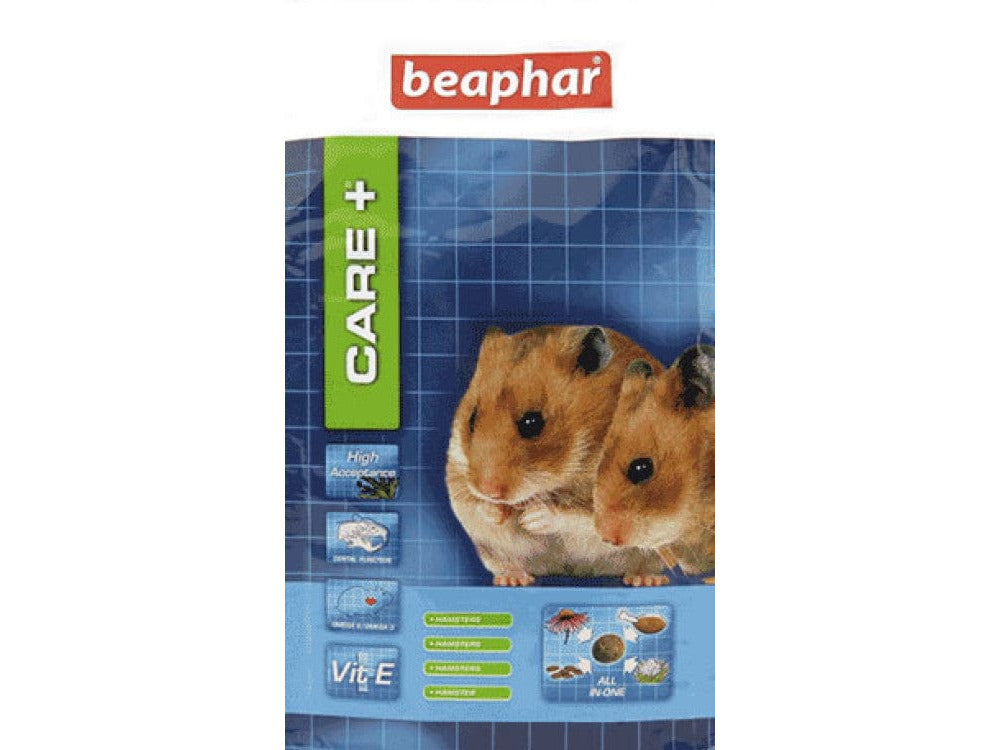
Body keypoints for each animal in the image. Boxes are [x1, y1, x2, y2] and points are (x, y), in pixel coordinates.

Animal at [446, 325, 668, 586]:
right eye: (471, 419)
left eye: (532, 423)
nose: (489, 490)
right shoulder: (457, 476)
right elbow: (472, 505)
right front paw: (498, 511)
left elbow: (579, 515)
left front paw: (532, 519)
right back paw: (512, 579)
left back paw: (645, 579)